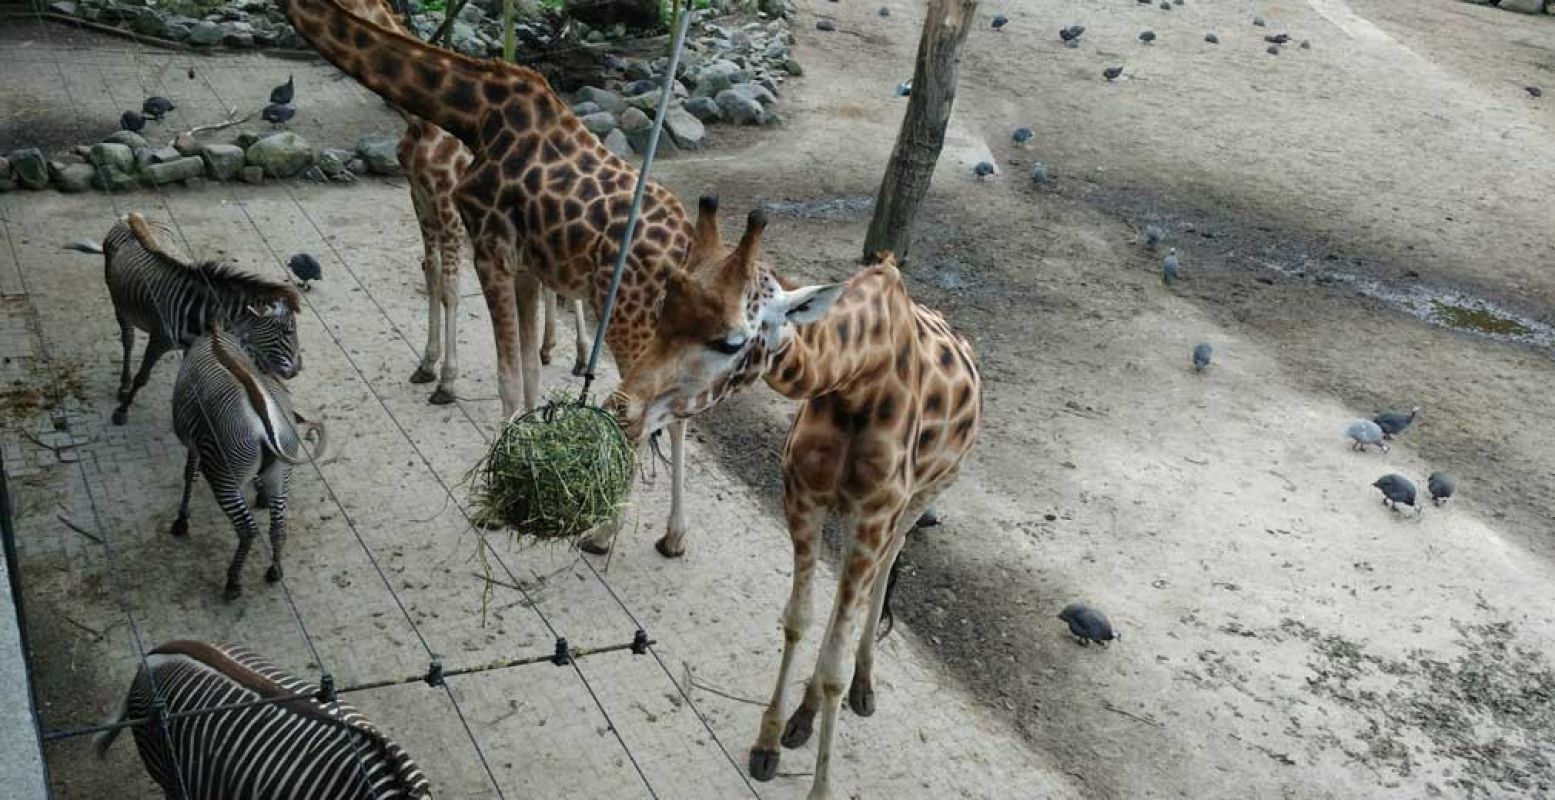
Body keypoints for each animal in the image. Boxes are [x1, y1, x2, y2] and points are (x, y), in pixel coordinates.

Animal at [66, 211, 303, 423]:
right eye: (288, 331)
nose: (298, 369)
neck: (202, 316)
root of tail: (129, 215)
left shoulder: (193, 345)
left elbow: (193, 378)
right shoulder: (158, 340)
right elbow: (142, 377)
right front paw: (122, 411)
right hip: (119, 303)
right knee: (128, 340)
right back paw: (124, 385)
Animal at [173, 320, 324, 594]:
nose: (295, 369)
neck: (217, 335)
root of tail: (265, 422)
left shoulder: (195, 445)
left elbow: (189, 475)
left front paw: (181, 519)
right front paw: (259, 491)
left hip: (224, 477)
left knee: (247, 530)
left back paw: (233, 581)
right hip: (280, 473)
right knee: (278, 528)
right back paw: (275, 571)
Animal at [331, 0, 590, 407]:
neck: (418, 120)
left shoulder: (449, 208)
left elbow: (450, 289)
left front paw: (447, 382)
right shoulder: (421, 201)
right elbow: (432, 276)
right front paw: (426, 364)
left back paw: (579, 357)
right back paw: (548, 347)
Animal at [609, 207, 982, 796]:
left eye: (731, 341)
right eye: (663, 309)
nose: (624, 409)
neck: (857, 379)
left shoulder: (877, 512)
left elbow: (834, 658)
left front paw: (821, 784)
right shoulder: (804, 496)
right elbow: (798, 620)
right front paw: (769, 741)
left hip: (918, 499)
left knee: (882, 575)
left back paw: (864, 685)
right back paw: (803, 717)